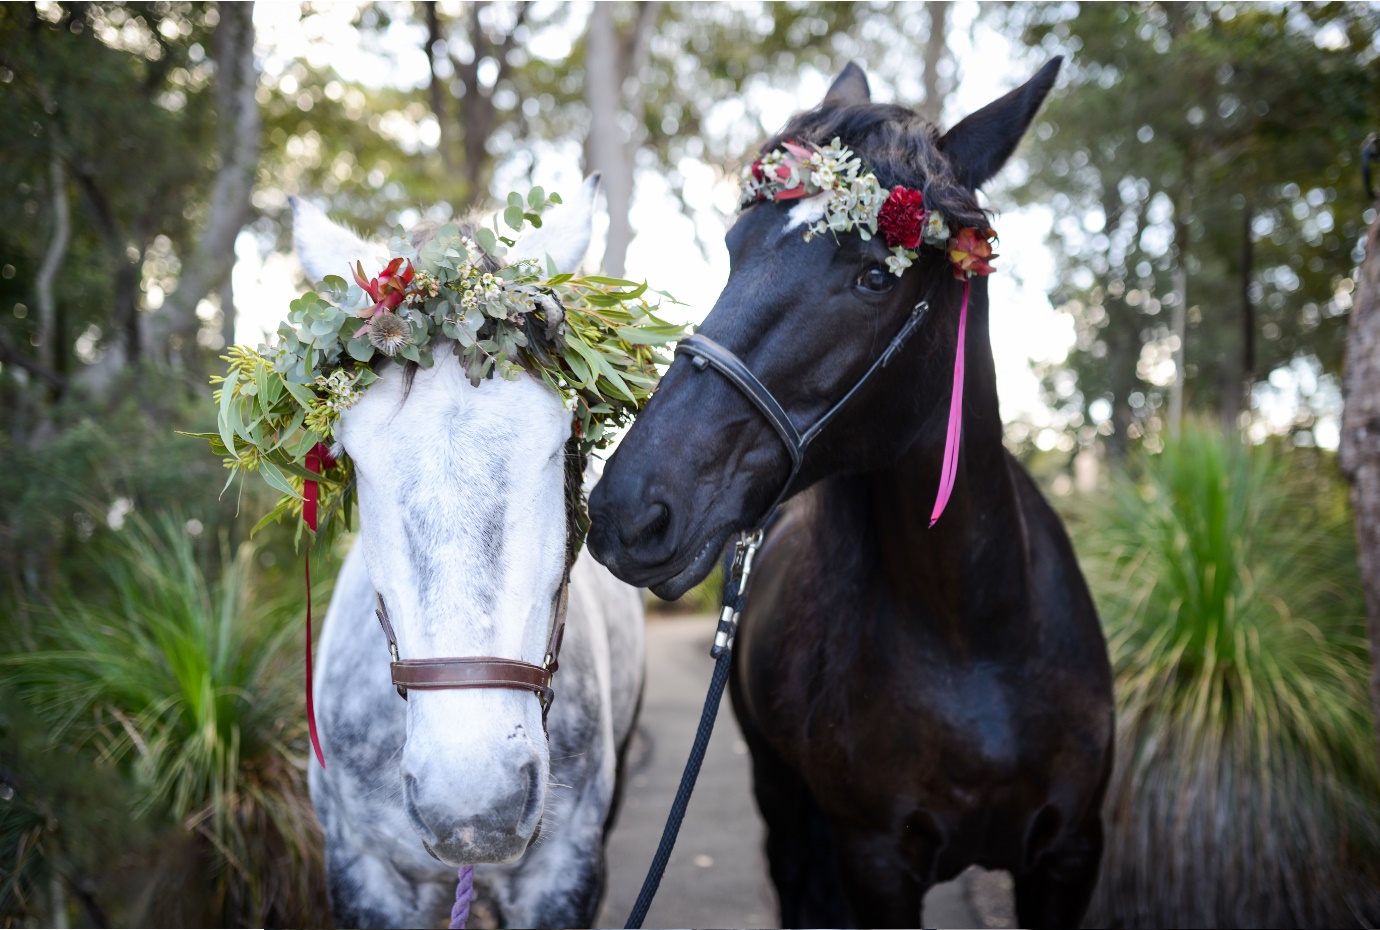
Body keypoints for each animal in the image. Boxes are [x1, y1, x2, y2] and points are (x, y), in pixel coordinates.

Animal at [587, 61, 1115, 921]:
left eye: (873, 275)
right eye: (734, 248)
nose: (628, 510)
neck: (975, 637)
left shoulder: (1070, 854)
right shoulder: (875, 861)